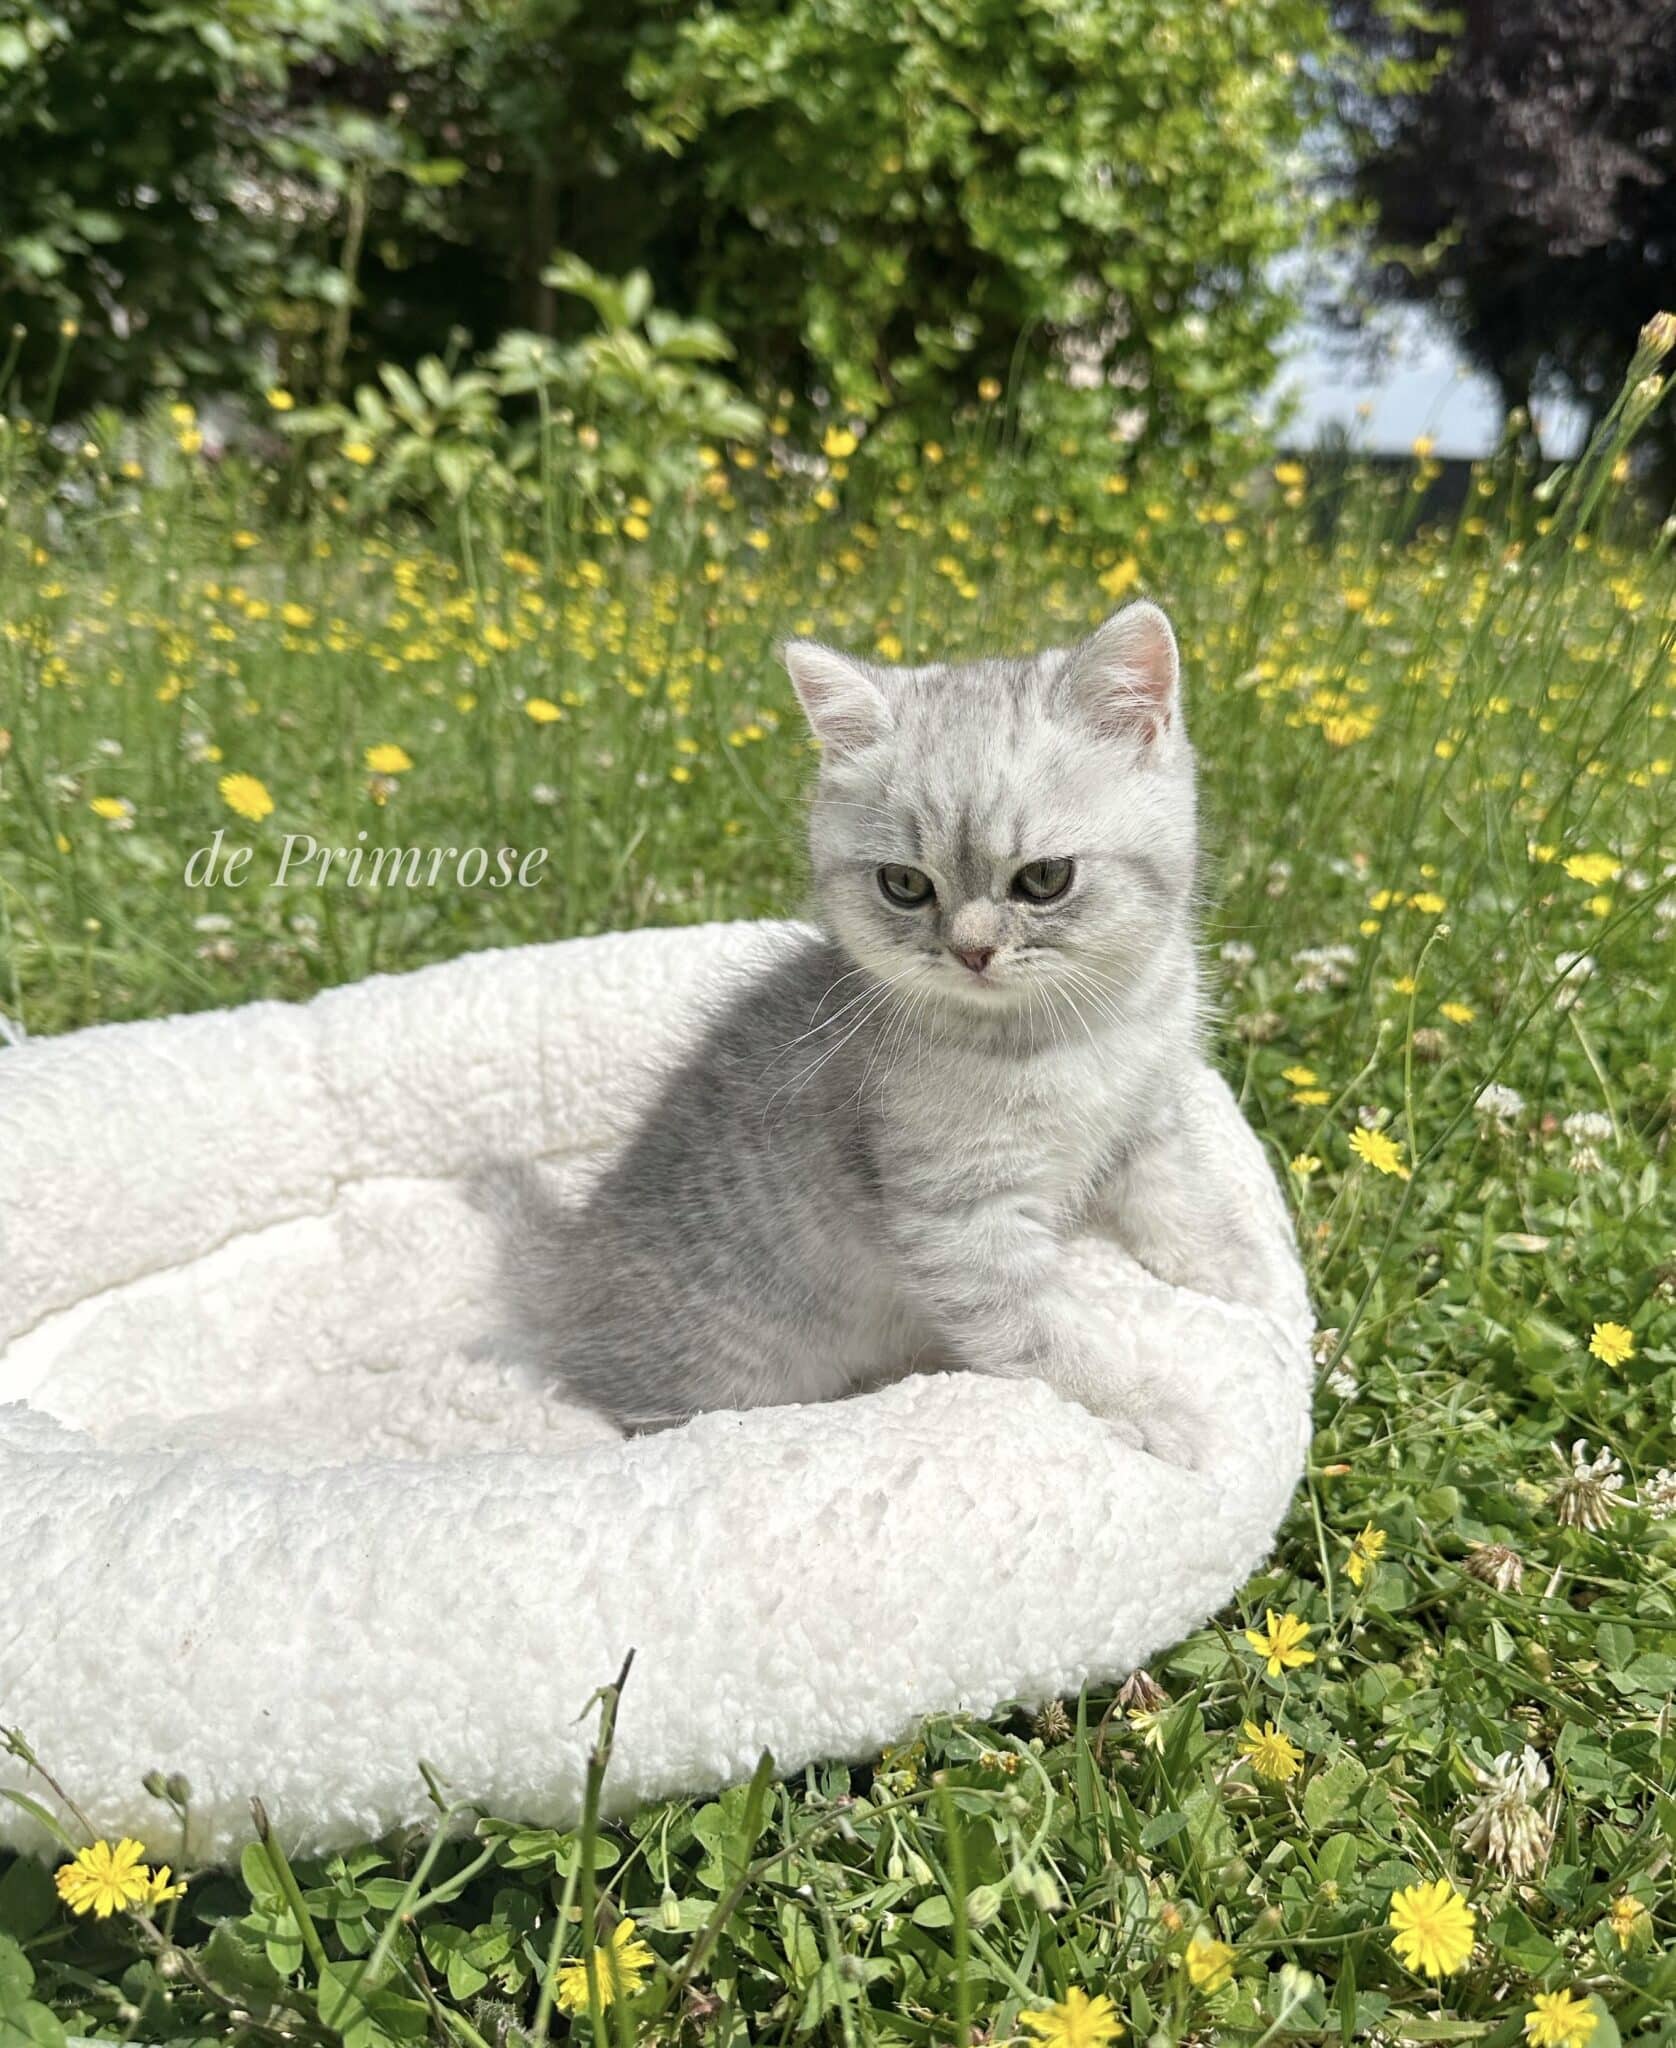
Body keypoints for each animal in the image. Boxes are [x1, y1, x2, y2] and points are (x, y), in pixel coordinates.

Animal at [483, 598, 1294, 1458]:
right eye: (904, 884)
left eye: (1044, 878)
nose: (971, 950)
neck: (1080, 1031)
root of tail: (568, 1270)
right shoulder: (960, 1226)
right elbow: (1046, 1335)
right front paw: (1150, 1405)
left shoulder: (1147, 1113)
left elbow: (1177, 1195)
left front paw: (1242, 1273)